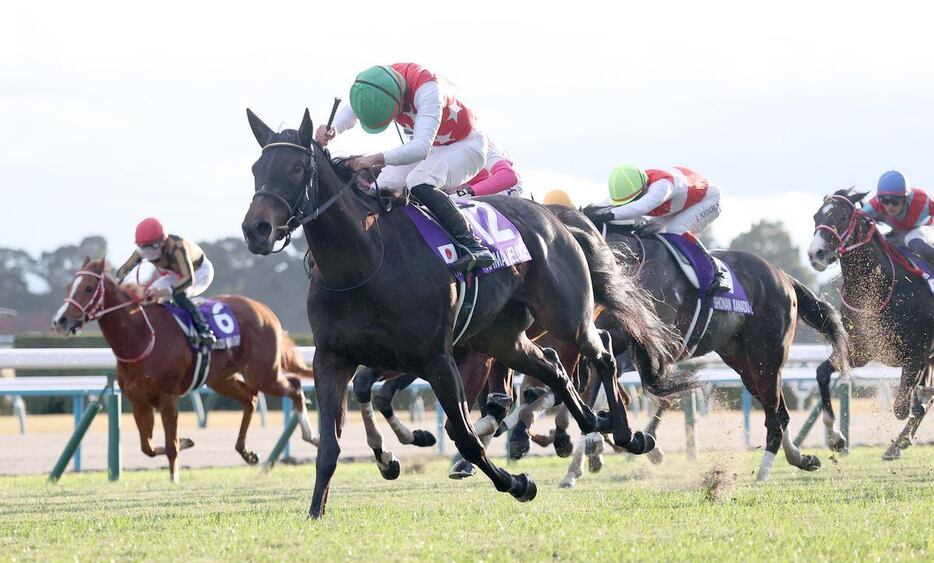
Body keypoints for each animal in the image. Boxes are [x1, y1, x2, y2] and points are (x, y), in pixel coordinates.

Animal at [53, 258, 320, 482]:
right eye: (68, 287)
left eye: (89, 288)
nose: (60, 321)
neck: (141, 337)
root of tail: (266, 311)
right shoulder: (139, 401)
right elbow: (147, 447)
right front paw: (186, 442)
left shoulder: (168, 397)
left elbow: (170, 445)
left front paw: (174, 477)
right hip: (220, 379)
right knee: (251, 399)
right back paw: (246, 452)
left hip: (263, 373)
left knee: (294, 387)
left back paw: (312, 437)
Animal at [239, 108, 680, 516]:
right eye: (256, 169)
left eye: (296, 168)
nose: (256, 229)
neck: (365, 262)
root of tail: (556, 219)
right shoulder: (333, 358)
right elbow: (330, 445)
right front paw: (317, 510)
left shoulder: (436, 357)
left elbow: (463, 434)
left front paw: (516, 483)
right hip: (502, 338)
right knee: (553, 368)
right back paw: (592, 424)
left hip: (565, 318)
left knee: (601, 352)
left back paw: (625, 433)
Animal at [808, 187, 932, 460]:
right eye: (815, 217)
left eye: (842, 217)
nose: (815, 254)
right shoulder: (858, 352)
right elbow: (822, 372)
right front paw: (835, 439)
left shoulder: (918, 354)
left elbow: (902, 407)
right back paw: (897, 444)